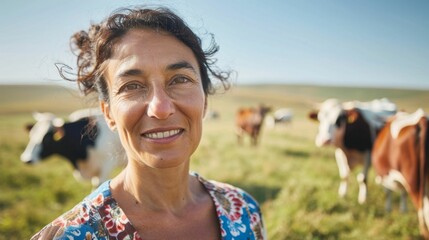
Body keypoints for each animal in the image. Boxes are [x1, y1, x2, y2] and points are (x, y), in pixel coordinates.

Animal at [372, 109, 428, 238]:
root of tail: (420, 119)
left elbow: (388, 192)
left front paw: (388, 210)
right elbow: (402, 193)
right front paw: (404, 211)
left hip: (413, 180)